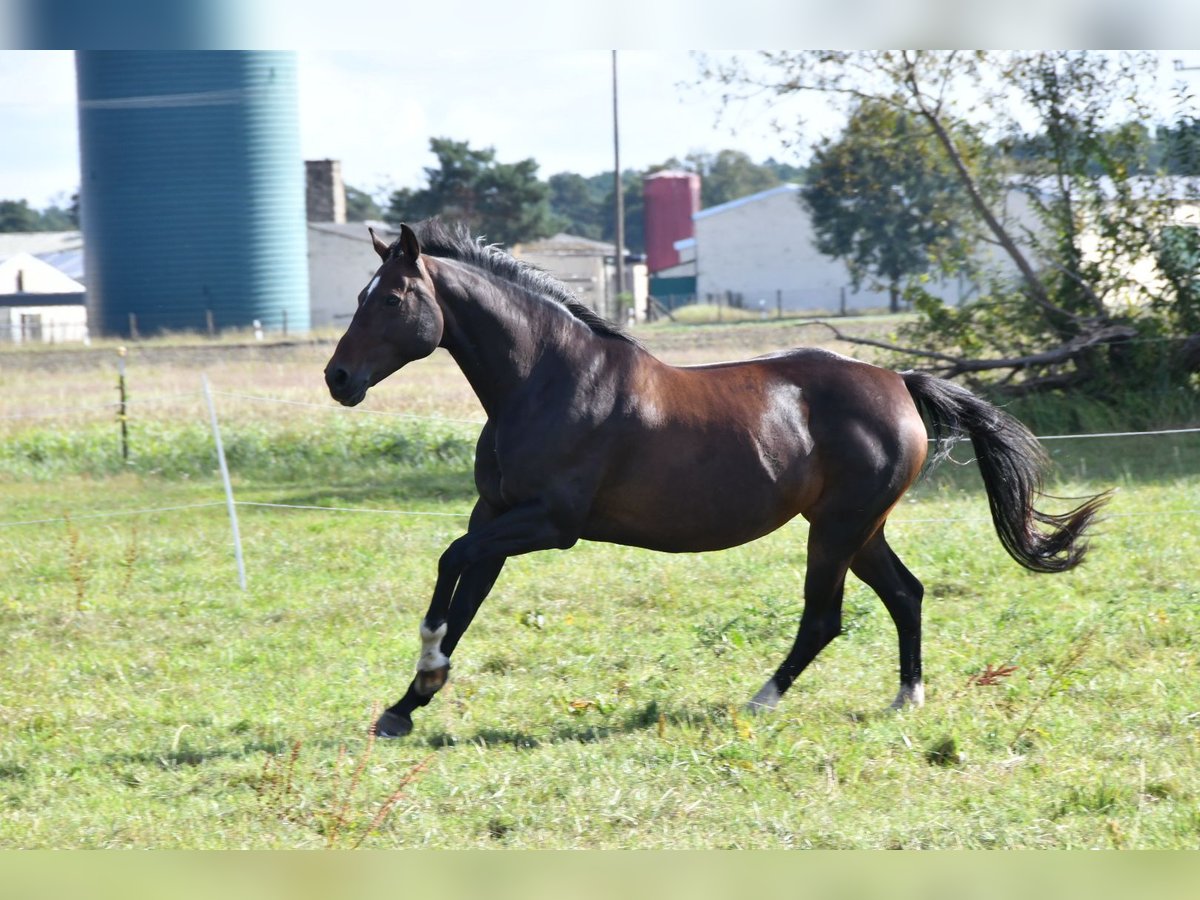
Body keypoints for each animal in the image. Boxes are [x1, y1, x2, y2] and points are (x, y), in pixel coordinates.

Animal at [324, 220, 1108, 739]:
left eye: (390, 299)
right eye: (360, 295)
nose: (338, 379)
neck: (544, 380)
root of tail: (901, 383)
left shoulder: (549, 524)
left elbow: (449, 568)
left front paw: (425, 672)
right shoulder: (496, 515)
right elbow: (465, 594)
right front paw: (408, 703)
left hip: (837, 530)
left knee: (825, 618)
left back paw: (761, 701)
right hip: (859, 528)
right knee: (905, 595)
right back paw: (905, 699)